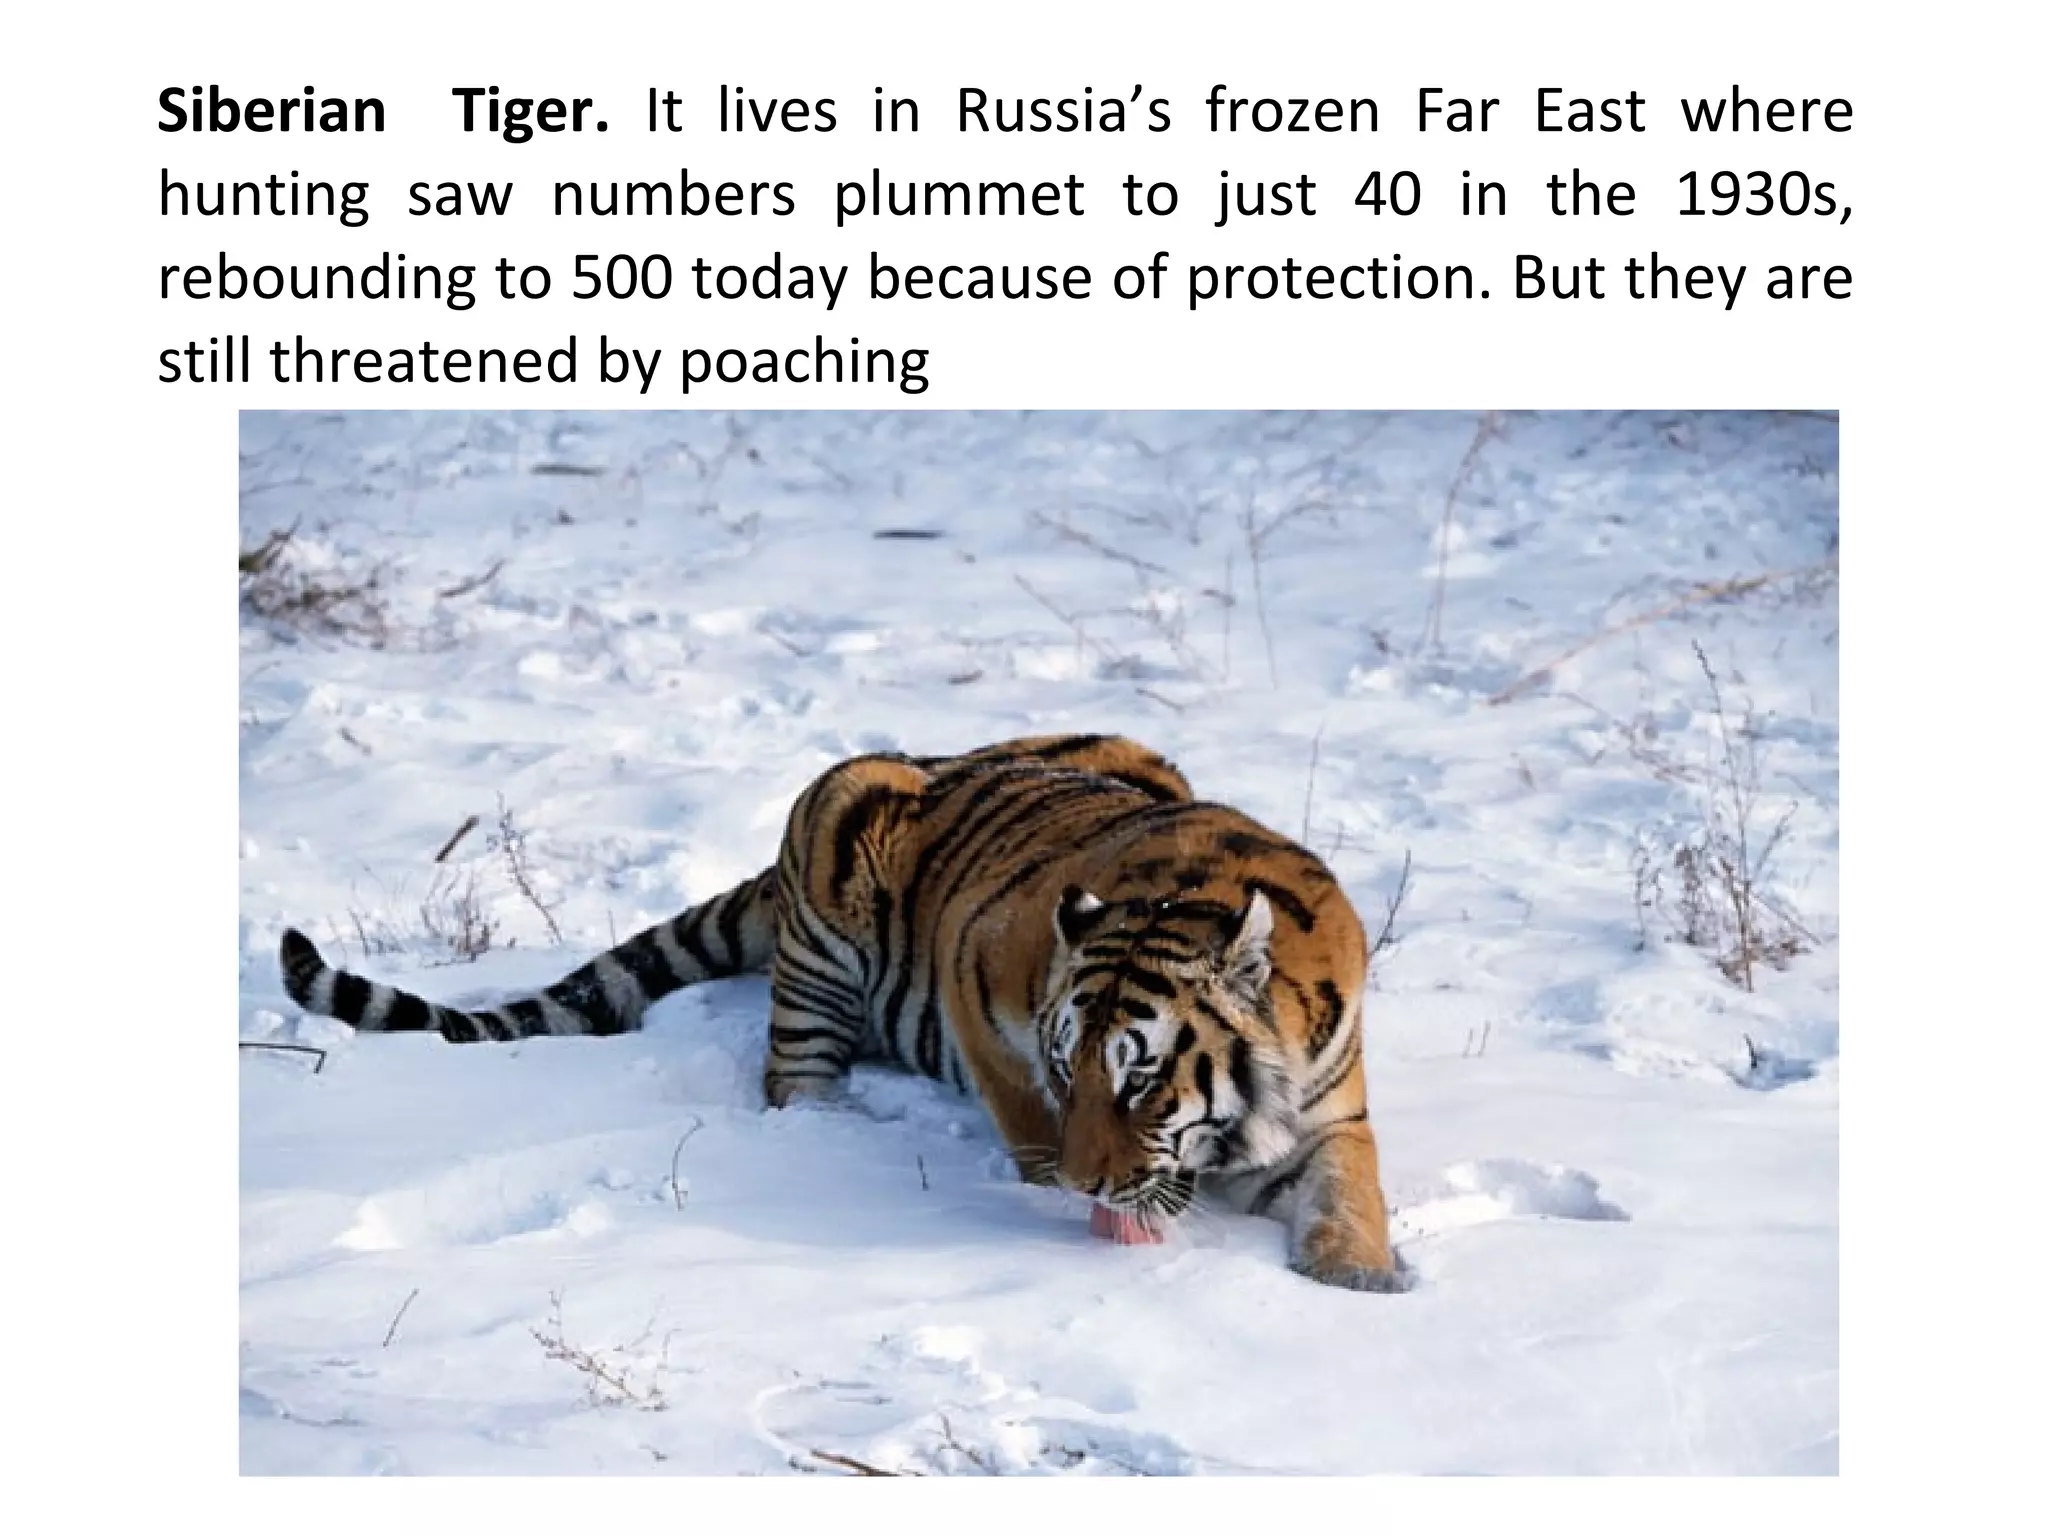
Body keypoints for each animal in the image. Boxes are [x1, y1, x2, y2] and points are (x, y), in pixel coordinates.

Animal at [277, 733, 1405, 1291]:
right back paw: (831, 1130)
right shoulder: (979, 965)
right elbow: (1021, 1119)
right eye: (1066, 1064)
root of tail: (947, 755)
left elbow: (1352, 1191)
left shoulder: (1331, 1104)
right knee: (791, 1076)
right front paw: (1064, 1186)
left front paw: (1364, 1279)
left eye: (1139, 1077)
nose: (1092, 1183)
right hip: (833, 846)